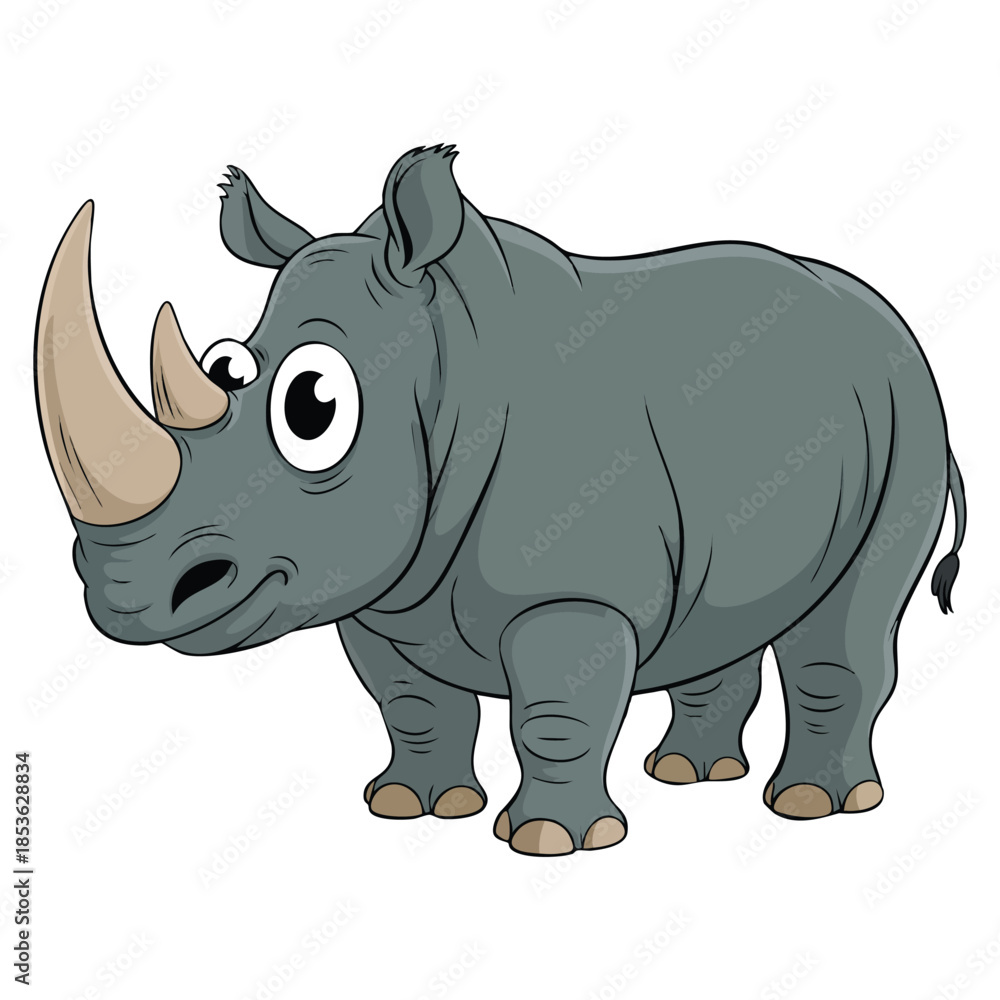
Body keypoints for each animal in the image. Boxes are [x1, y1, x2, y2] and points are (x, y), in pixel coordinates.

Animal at [34, 145, 966, 856]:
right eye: (225, 366)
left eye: (313, 407)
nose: (122, 592)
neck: (450, 367)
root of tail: (899, 331)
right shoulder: (376, 593)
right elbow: (411, 705)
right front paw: (413, 807)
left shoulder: (573, 594)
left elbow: (554, 713)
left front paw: (553, 843)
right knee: (726, 612)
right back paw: (690, 776)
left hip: (911, 413)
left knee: (847, 620)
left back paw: (813, 806)